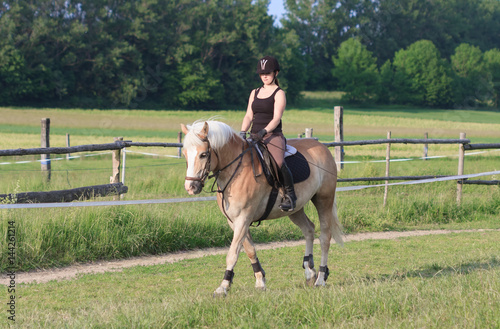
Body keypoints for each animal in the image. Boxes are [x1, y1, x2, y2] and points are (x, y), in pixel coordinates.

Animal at [182, 120, 342, 294]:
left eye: (203, 154)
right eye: (185, 154)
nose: (191, 187)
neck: (235, 170)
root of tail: (322, 147)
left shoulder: (243, 218)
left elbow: (233, 253)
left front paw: (223, 286)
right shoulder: (234, 221)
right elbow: (249, 250)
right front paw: (260, 280)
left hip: (323, 200)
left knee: (325, 237)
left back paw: (321, 277)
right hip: (295, 209)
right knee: (309, 230)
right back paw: (309, 271)